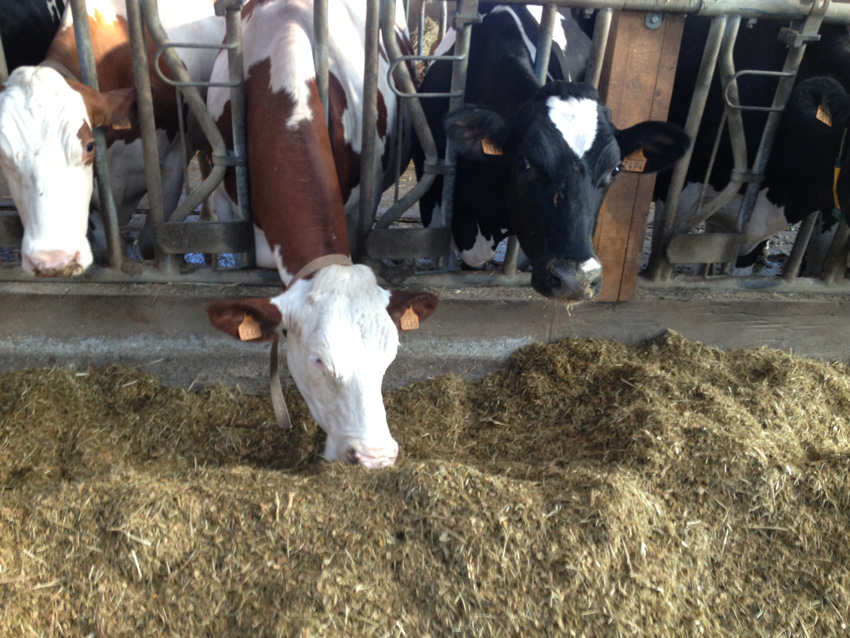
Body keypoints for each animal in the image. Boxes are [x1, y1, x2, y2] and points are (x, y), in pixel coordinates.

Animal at [0, 0, 225, 276]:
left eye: (89, 147)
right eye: (2, 155)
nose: (53, 261)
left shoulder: (171, 164)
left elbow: (152, 243)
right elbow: (107, 247)